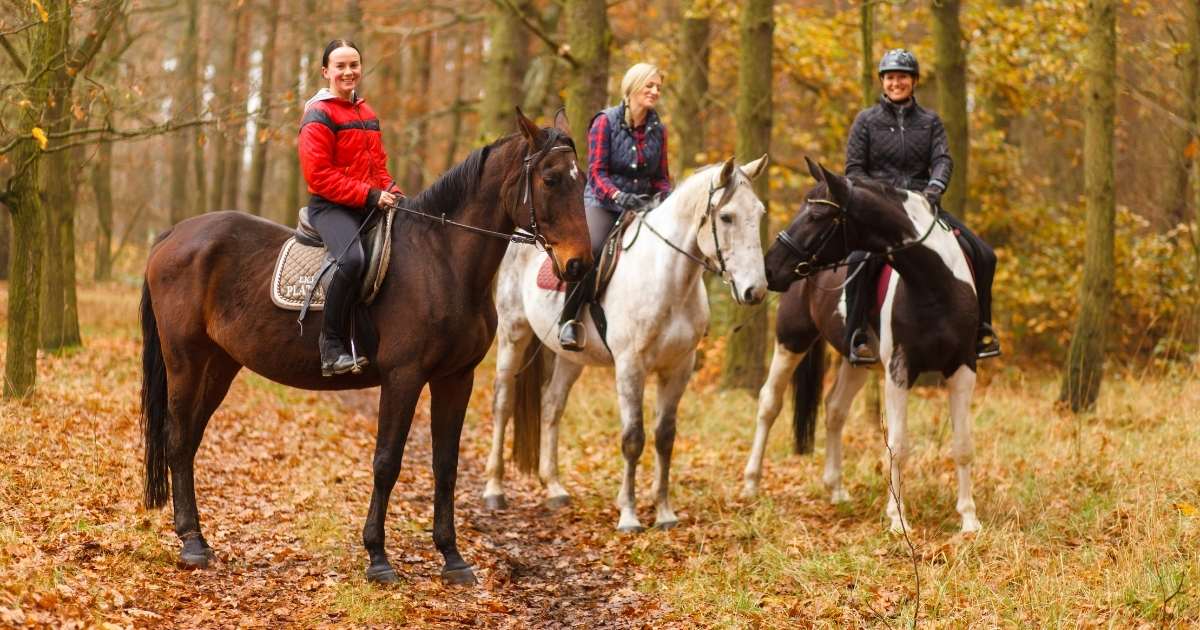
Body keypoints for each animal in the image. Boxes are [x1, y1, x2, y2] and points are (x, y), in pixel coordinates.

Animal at [142, 109, 592, 585]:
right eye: (550, 179)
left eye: (582, 180)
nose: (579, 264)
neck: (444, 261)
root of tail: (174, 234)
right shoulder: (403, 377)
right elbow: (386, 462)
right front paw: (378, 557)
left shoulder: (456, 379)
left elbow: (445, 465)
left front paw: (452, 557)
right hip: (185, 360)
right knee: (177, 439)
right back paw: (191, 544)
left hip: (219, 364)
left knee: (189, 439)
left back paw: (197, 537)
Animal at [739, 158, 984, 535]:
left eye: (816, 216)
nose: (767, 271)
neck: (934, 285)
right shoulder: (899, 370)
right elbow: (898, 445)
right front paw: (898, 519)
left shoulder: (962, 367)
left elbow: (963, 445)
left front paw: (969, 519)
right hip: (792, 340)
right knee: (769, 403)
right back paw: (751, 484)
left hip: (858, 361)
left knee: (835, 409)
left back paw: (836, 489)